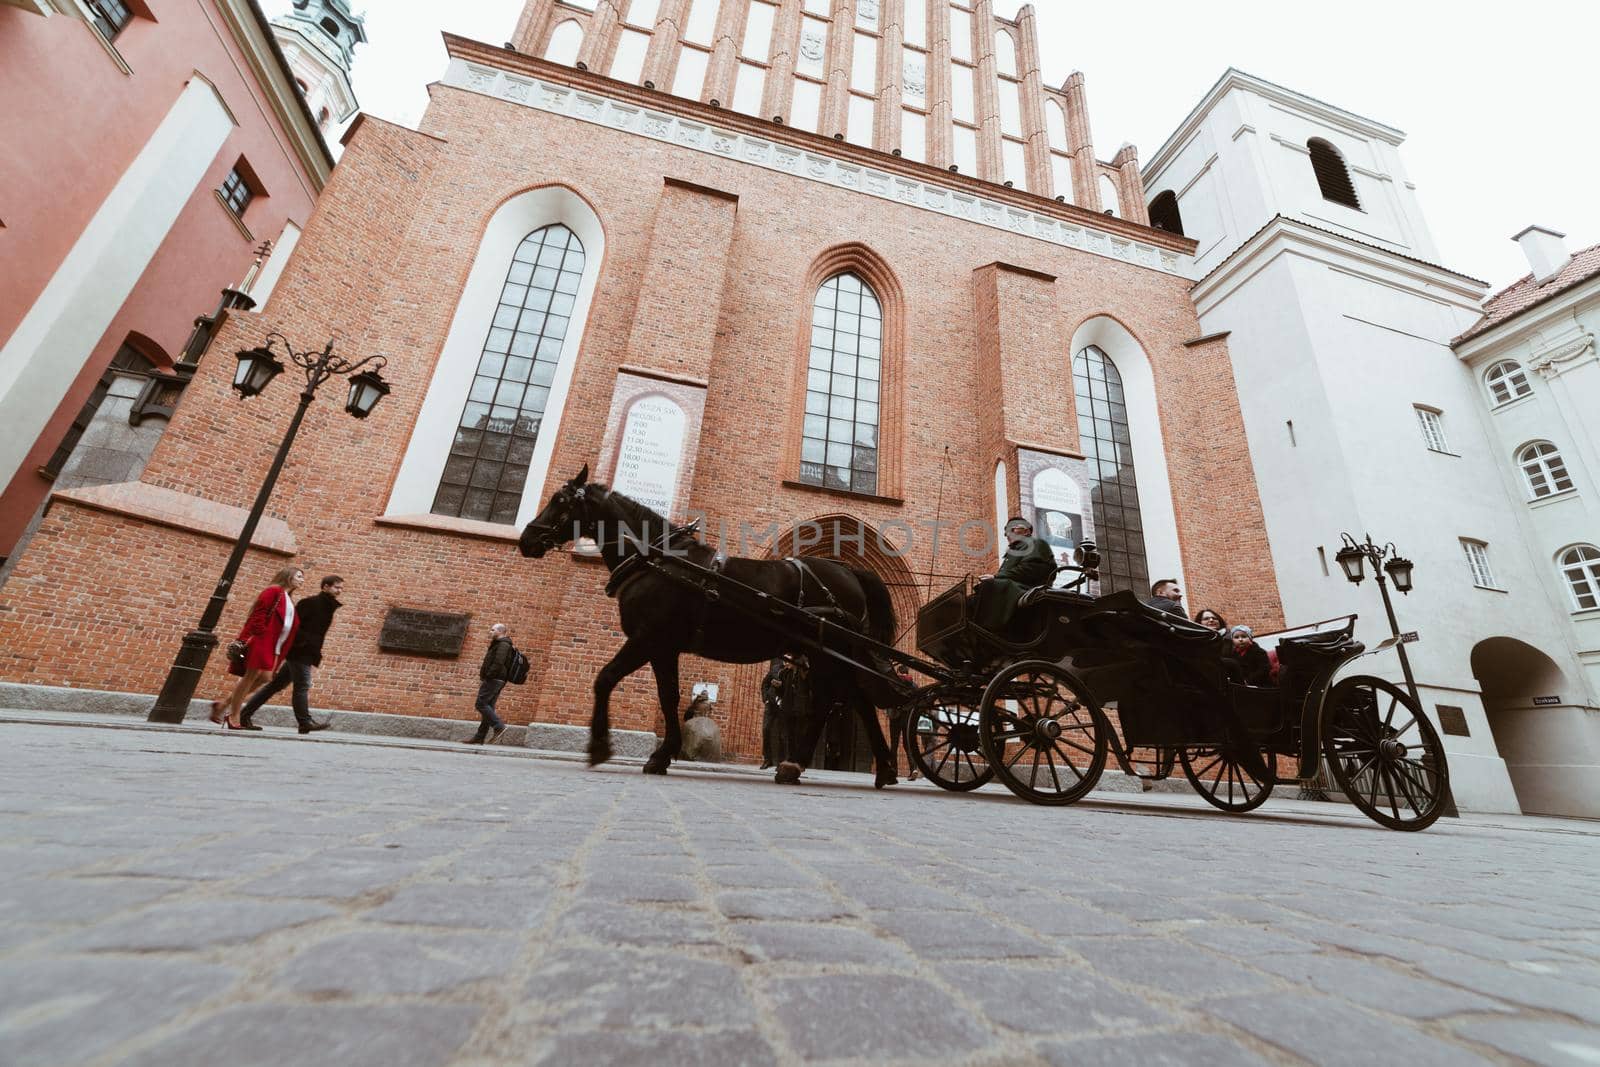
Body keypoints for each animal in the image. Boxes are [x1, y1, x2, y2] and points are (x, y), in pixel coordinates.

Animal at [521, 467, 908, 783]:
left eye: (560, 501)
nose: (527, 539)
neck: (658, 559)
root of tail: (850, 570)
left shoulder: (646, 639)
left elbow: (605, 679)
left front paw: (601, 746)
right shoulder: (664, 648)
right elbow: (668, 696)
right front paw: (663, 754)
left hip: (831, 652)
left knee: (837, 699)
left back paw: (800, 764)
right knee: (856, 699)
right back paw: (878, 769)